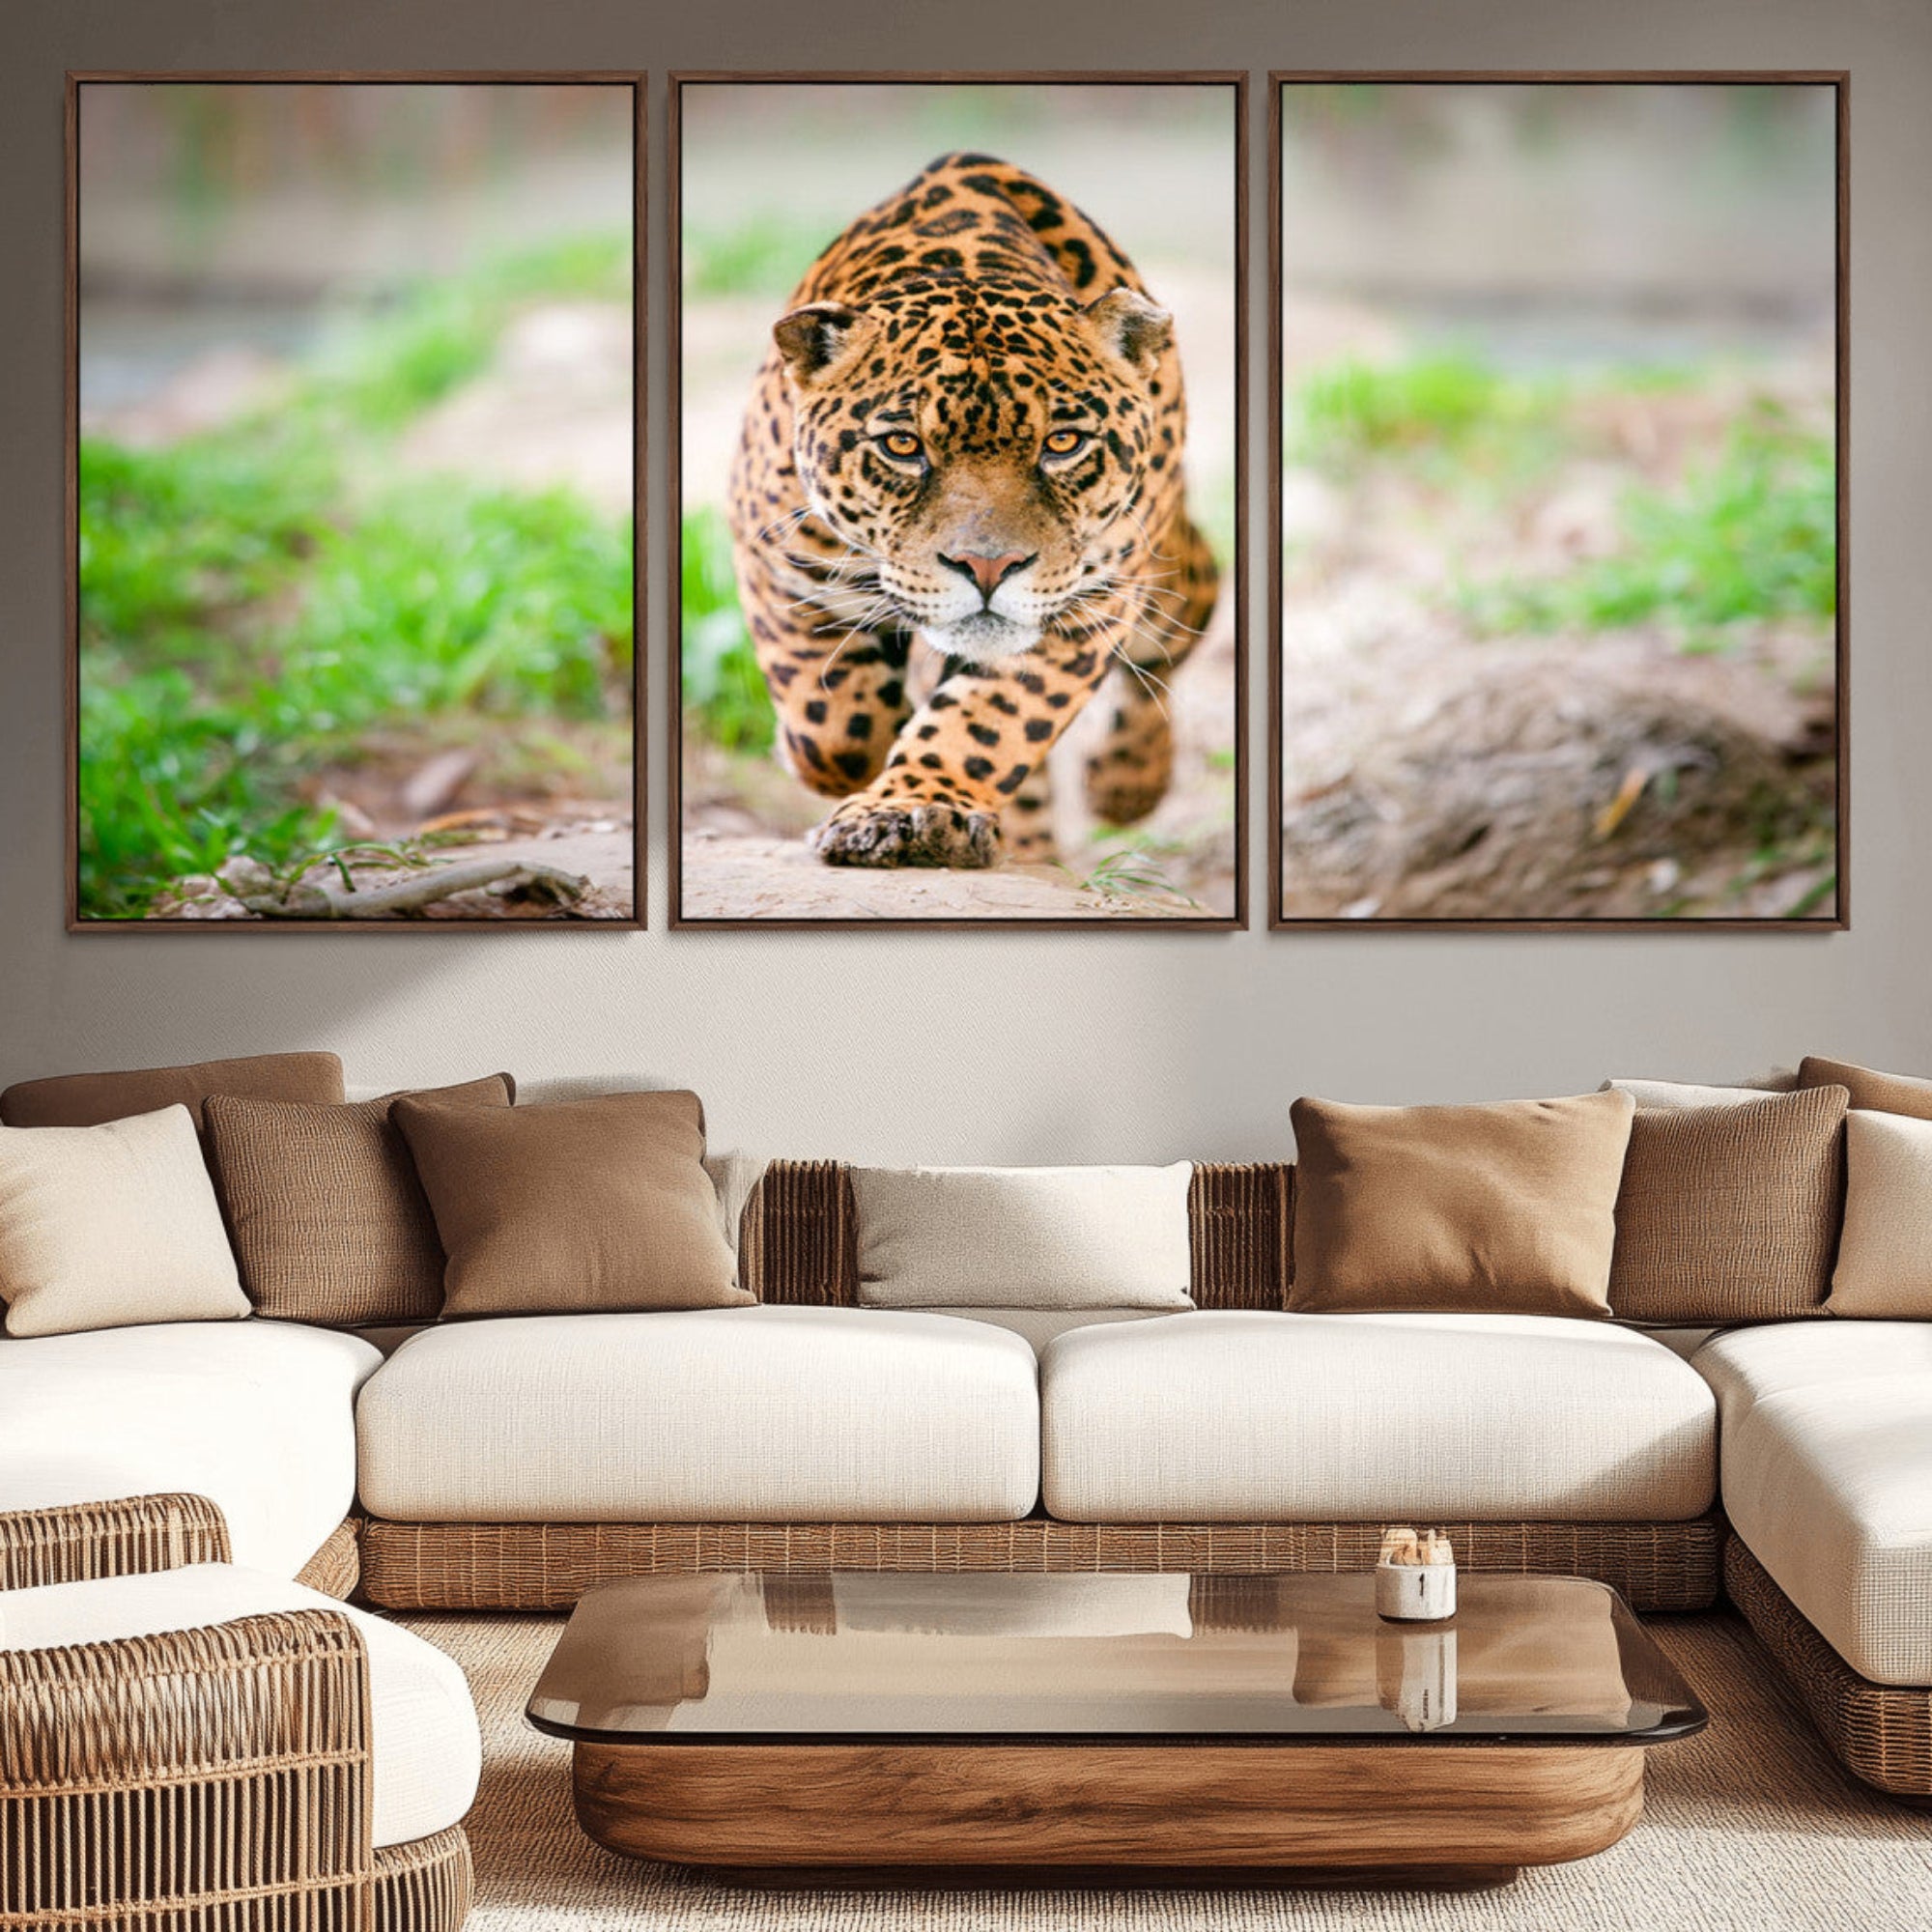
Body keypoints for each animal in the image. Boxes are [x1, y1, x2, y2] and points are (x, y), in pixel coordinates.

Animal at [723, 150, 1220, 869]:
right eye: (903, 445)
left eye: (1062, 443)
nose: (988, 568)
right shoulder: (778, 560)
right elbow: (832, 725)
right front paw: (847, 762)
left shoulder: (1086, 607)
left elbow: (990, 721)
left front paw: (910, 809)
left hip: (1161, 574)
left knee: (1175, 632)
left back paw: (1127, 783)